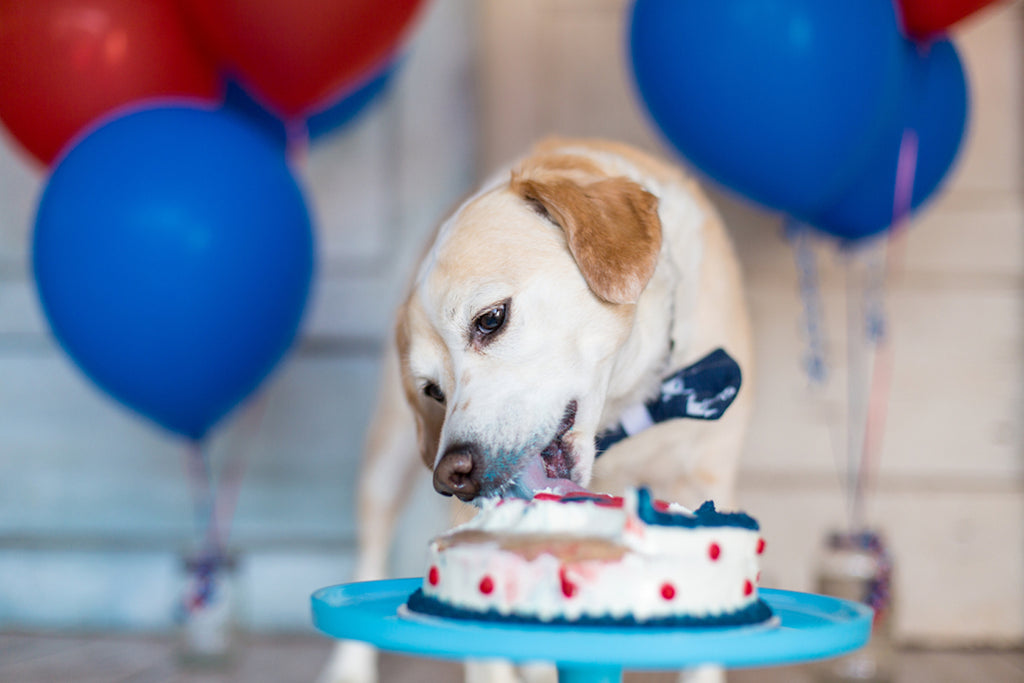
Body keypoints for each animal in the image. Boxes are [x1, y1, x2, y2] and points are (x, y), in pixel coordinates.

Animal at [319, 139, 753, 683]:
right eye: (432, 391)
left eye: (490, 319)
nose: (450, 475)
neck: (623, 417)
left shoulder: (708, 481)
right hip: (387, 459)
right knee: (371, 548)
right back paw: (348, 668)